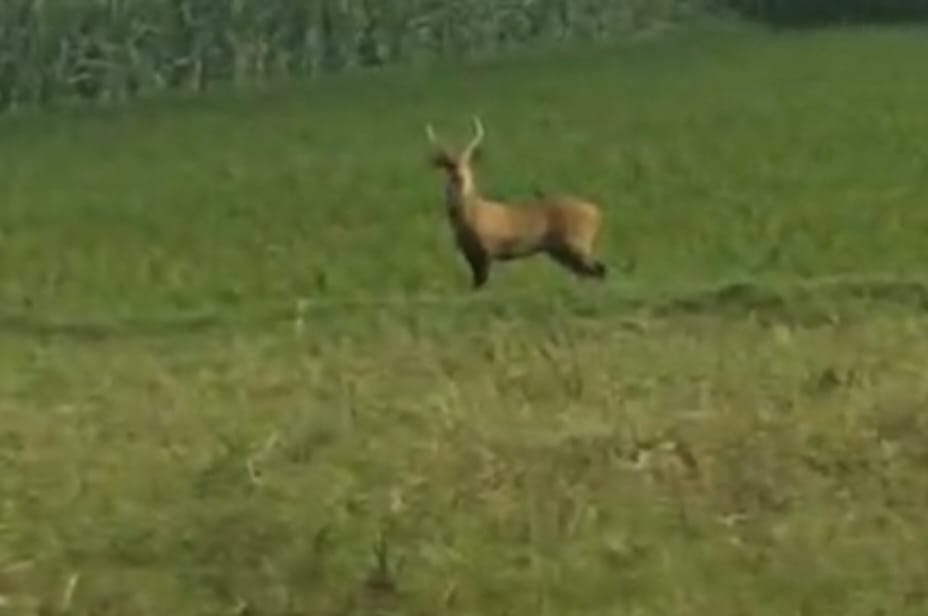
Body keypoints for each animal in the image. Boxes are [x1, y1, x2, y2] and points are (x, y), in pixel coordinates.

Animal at [425, 116, 608, 290]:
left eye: (468, 162)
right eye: (448, 164)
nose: (459, 177)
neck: (469, 217)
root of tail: (597, 213)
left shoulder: (486, 250)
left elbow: (482, 284)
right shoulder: (470, 253)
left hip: (577, 243)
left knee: (599, 270)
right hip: (562, 251)